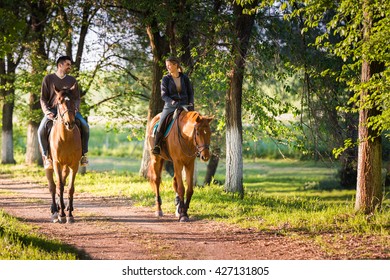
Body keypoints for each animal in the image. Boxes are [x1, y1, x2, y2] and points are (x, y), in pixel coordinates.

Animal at [45, 85, 81, 223]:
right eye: (59, 102)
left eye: (73, 101)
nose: (69, 123)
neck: (65, 138)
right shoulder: (57, 163)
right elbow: (59, 186)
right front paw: (61, 215)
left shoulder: (74, 165)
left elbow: (70, 188)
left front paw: (69, 214)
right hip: (50, 165)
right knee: (53, 186)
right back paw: (55, 211)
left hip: (66, 167)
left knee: (64, 182)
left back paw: (64, 207)